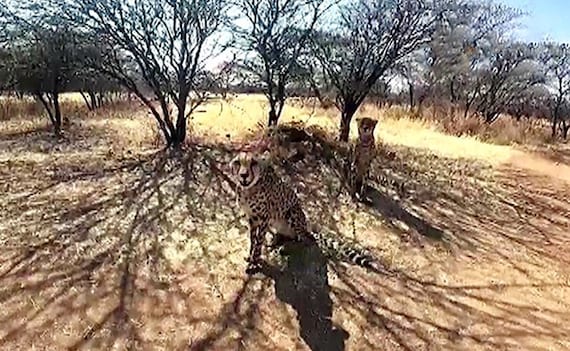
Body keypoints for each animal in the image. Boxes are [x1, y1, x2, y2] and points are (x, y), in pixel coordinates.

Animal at [226, 151, 378, 276]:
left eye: (253, 163)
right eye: (237, 162)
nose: (243, 175)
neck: (248, 190)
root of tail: (307, 228)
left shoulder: (263, 218)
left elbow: (258, 244)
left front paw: (254, 263)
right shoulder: (252, 218)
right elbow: (253, 240)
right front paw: (250, 256)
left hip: (293, 212)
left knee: (303, 239)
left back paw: (285, 247)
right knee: (291, 236)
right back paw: (276, 240)